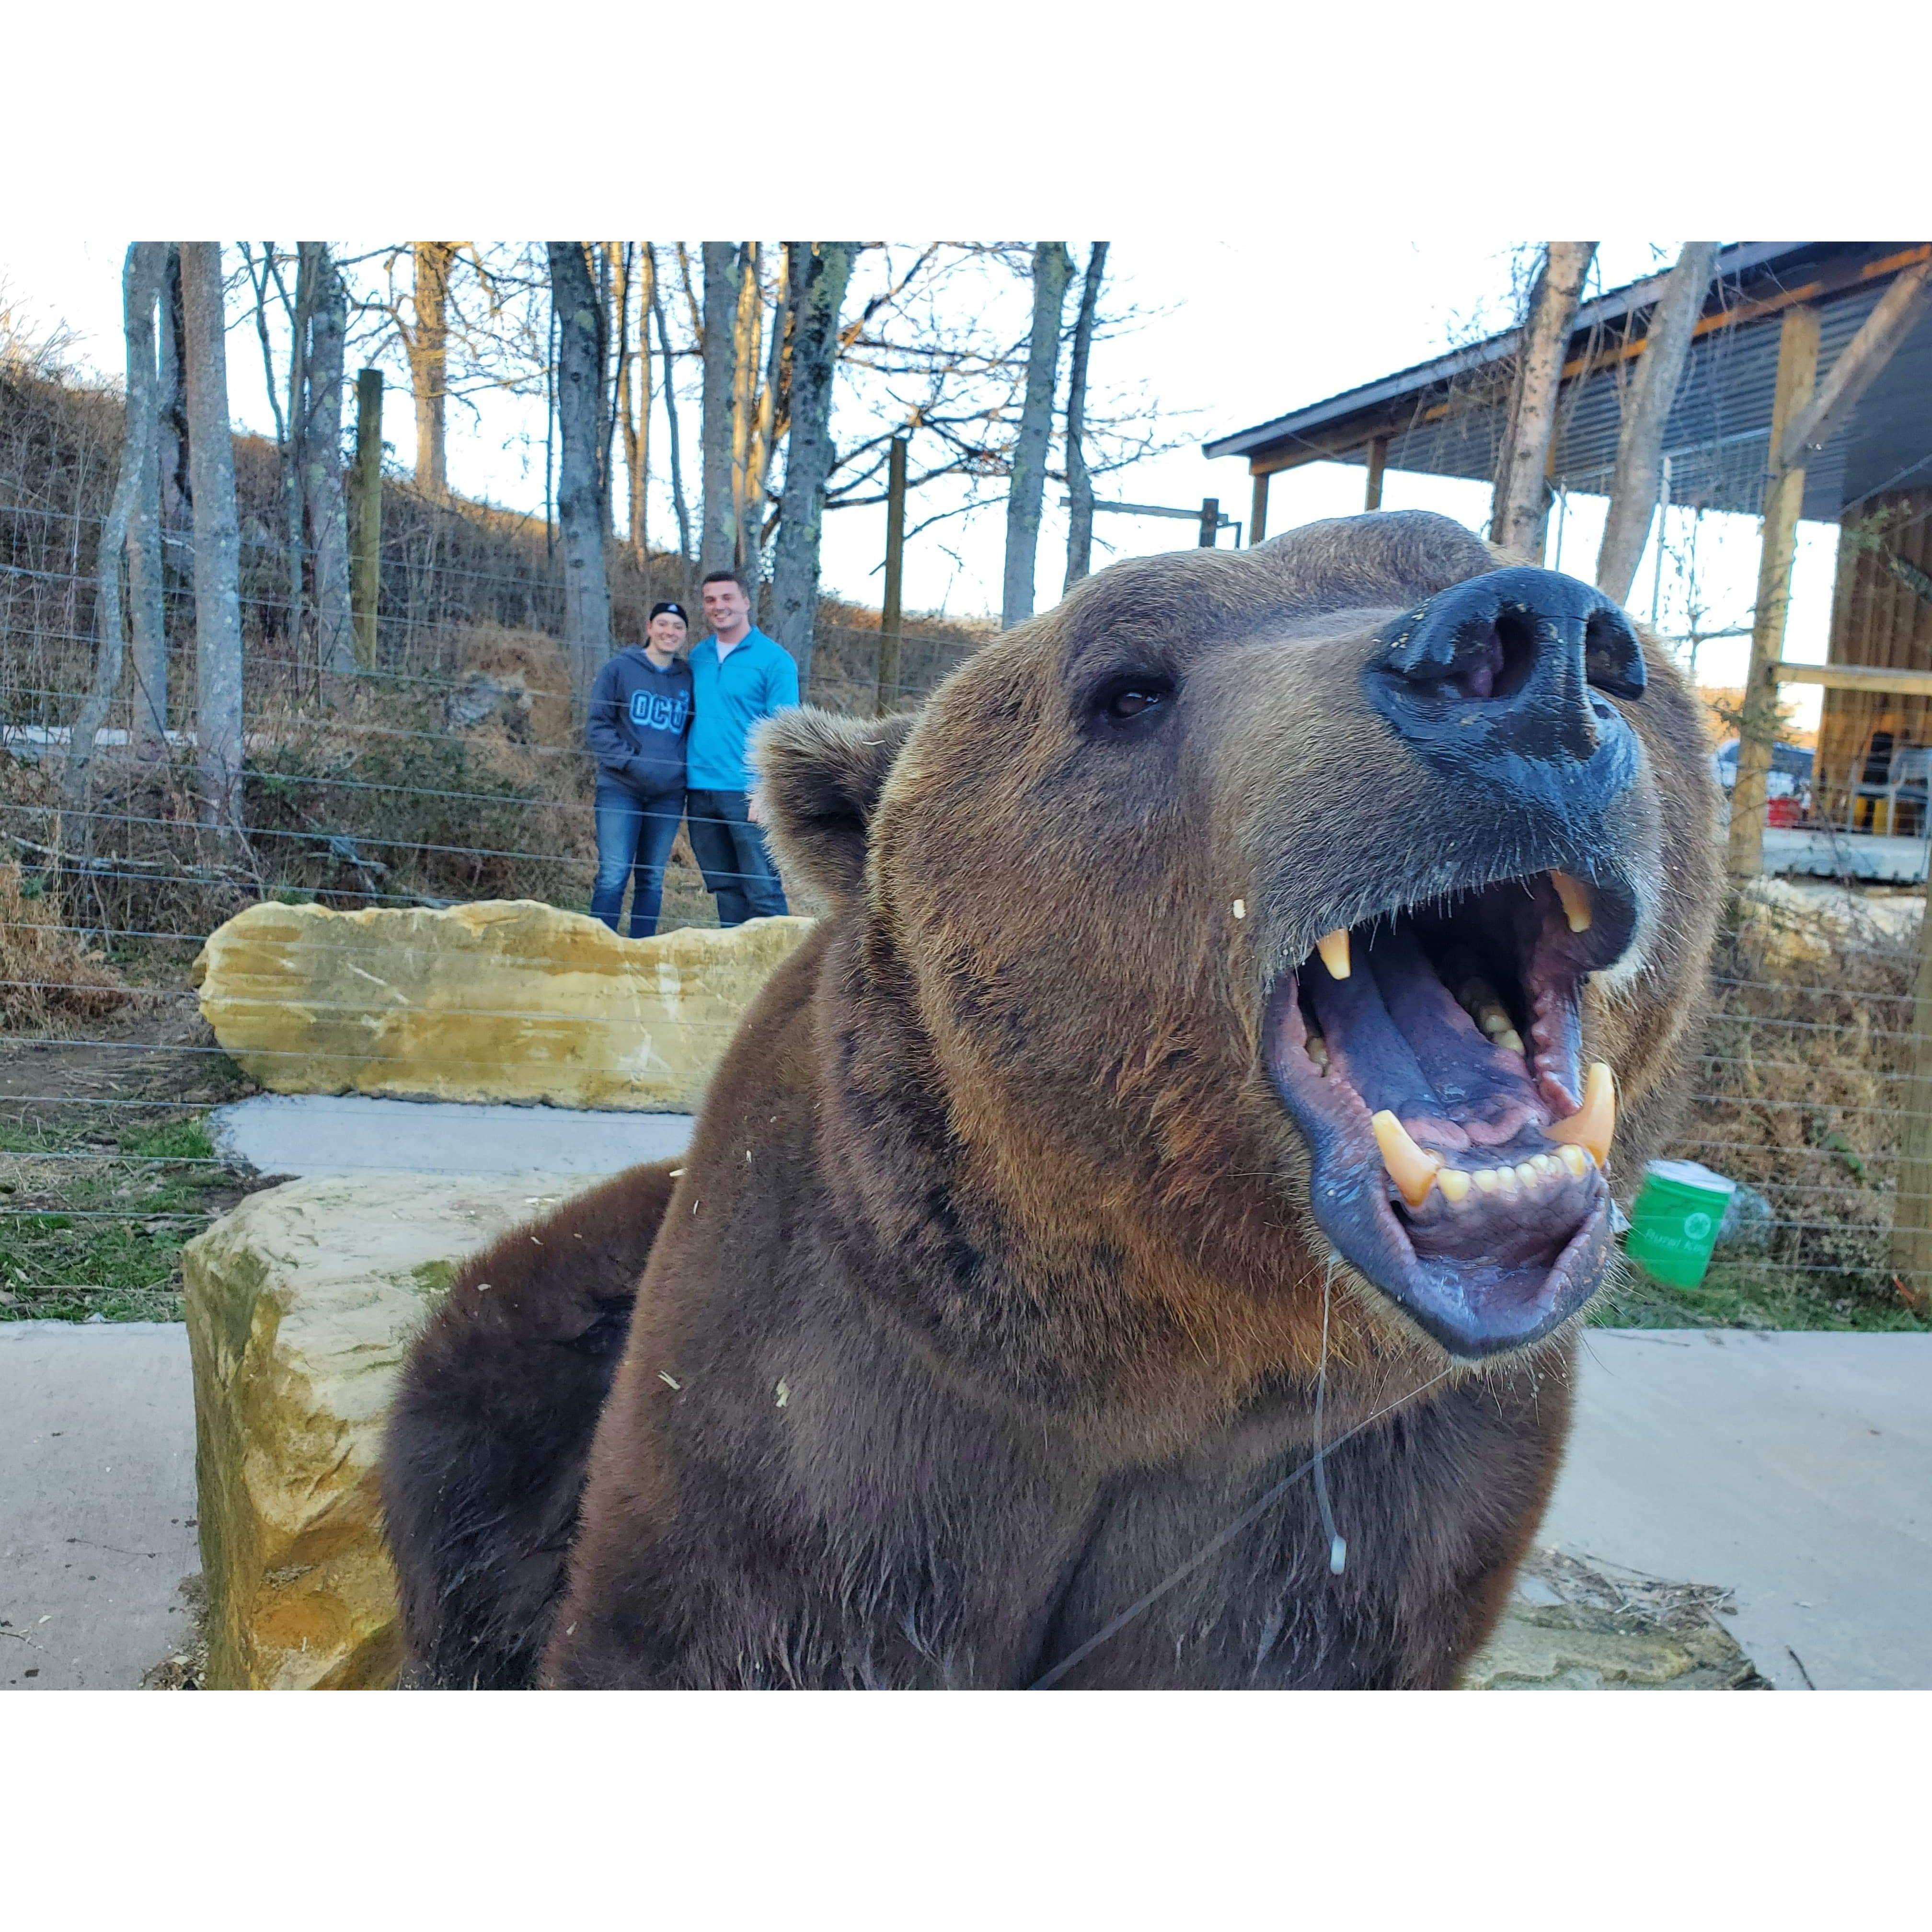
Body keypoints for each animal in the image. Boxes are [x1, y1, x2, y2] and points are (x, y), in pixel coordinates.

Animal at [380, 514, 1723, 1692]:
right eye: (1124, 687)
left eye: (1448, 554)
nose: (1527, 649)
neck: (1168, 1356)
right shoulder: (834, 1386)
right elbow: (731, 1628)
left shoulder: (1370, 1478)